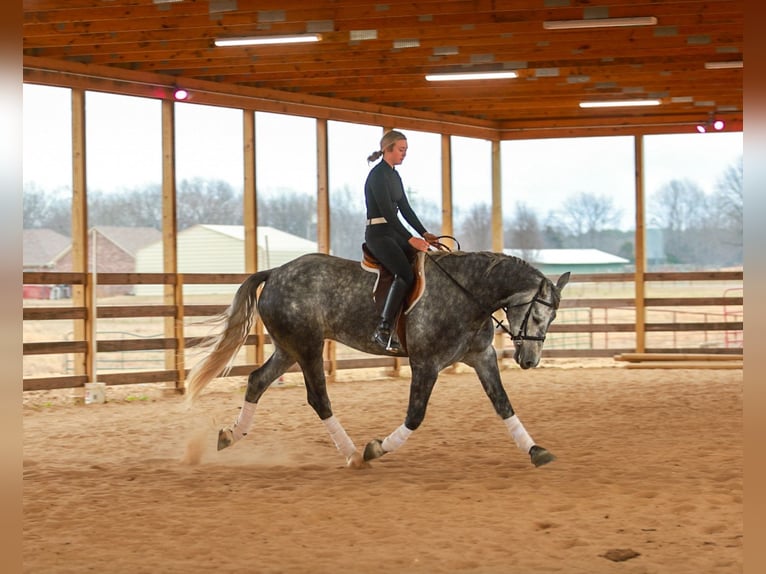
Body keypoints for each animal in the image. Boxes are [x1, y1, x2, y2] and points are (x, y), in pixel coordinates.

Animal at [185, 249, 570, 469]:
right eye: (538, 315)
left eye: (552, 318)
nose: (530, 360)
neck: (466, 293)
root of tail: (276, 272)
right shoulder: (426, 363)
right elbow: (415, 416)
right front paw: (376, 448)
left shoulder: (482, 356)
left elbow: (503, 404)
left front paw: (536, 450)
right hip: (307, 347)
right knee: (318, 398)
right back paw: (354, 455)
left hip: (288, 349)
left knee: (257, 381)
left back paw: (230, 437)